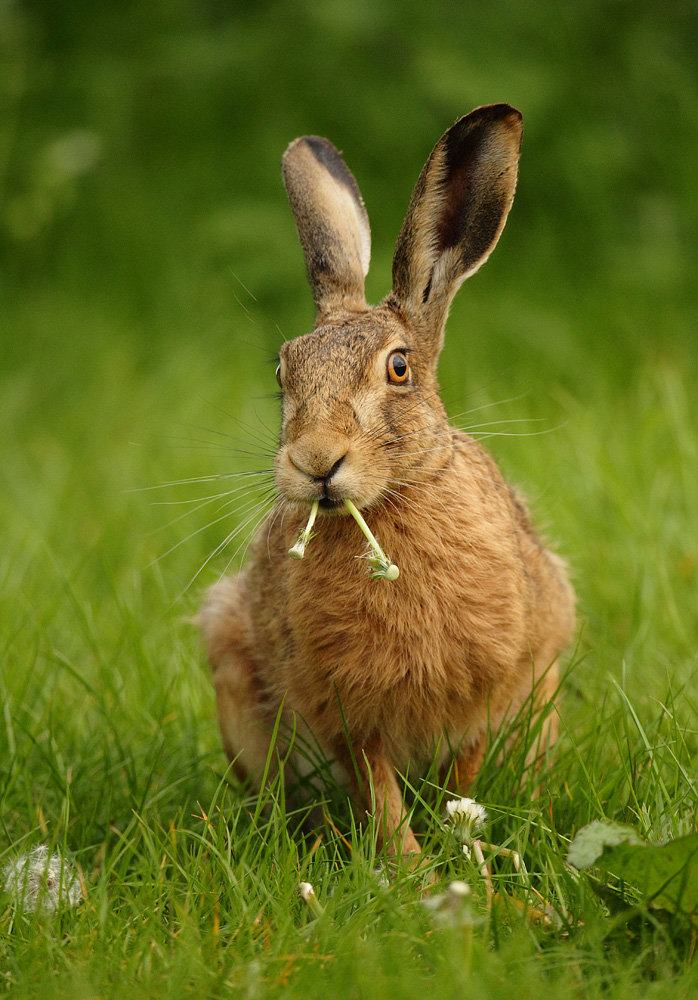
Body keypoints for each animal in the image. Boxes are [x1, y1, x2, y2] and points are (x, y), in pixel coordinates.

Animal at [200, 104, 576, 858]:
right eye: (282, 372)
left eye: (398, 368)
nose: (316, 461)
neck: (389, 507)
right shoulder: (342, 713)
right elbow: (380, 795)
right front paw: (409, 873)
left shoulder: (496, 685)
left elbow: (463, 773)